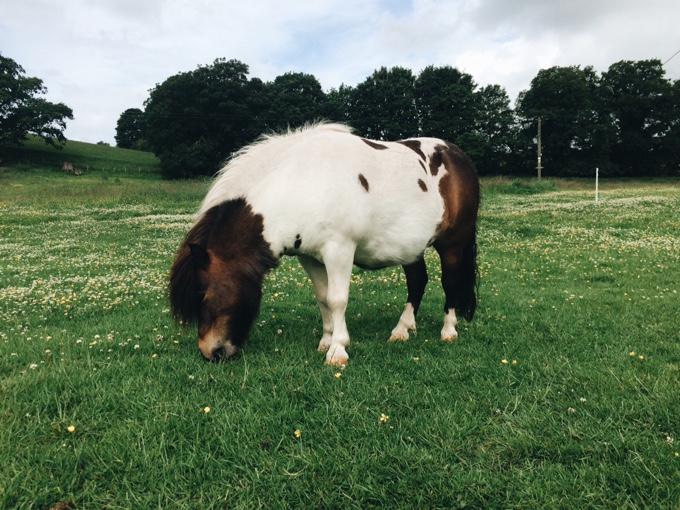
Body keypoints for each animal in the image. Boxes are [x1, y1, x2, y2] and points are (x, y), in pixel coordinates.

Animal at [169, 121, 478, 364]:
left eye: (203, 295)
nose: (208, 352)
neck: (304, 183)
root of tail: (459, 157)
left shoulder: (339, 251)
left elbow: (337, 299)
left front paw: (338, 349)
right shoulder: (310, 258)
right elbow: (322, 298)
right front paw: (327, 340)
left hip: (453, 244)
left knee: (449, 282)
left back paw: (448, 330)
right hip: (410, 248)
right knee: (417, 281)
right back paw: (402, 329)